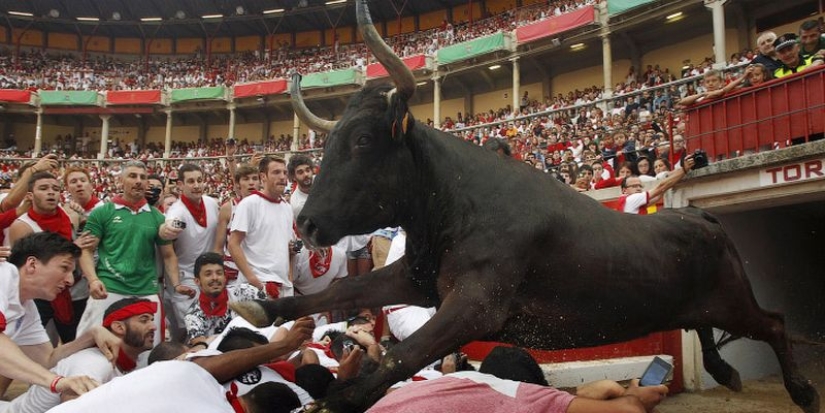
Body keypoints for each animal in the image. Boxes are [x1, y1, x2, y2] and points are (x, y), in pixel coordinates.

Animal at [231, 1, 821, 412]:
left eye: (361, 141)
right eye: (330, 143)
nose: (307, 224)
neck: (450, 208)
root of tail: (699, 214)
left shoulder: (477, 303)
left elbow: (401, 352)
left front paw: (337, 397)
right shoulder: (417, 278)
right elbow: (345, 291)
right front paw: (268, 310)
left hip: (732, 299)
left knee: (774, 322)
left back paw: (802, 390)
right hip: (697, 304)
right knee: (710, 327)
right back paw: (726, 372)